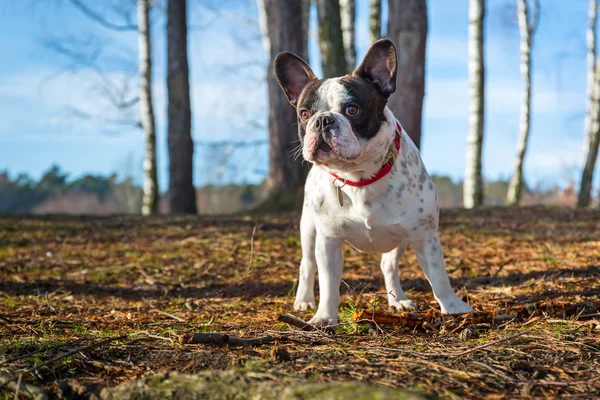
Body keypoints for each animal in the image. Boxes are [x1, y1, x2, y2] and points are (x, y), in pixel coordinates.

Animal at [274, 39, 474, 326]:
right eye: (304, 114)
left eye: (352, 110)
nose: (322, 120)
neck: (359, 177)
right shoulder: (328, 241)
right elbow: (329, 283)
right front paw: (325, 317)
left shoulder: (425, 236)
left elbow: (439, 277)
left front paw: (454, 307)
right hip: (309, 229)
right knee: (307, 264)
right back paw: (304, 300)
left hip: (400, 239)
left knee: (388, 265)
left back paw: (397, 300)